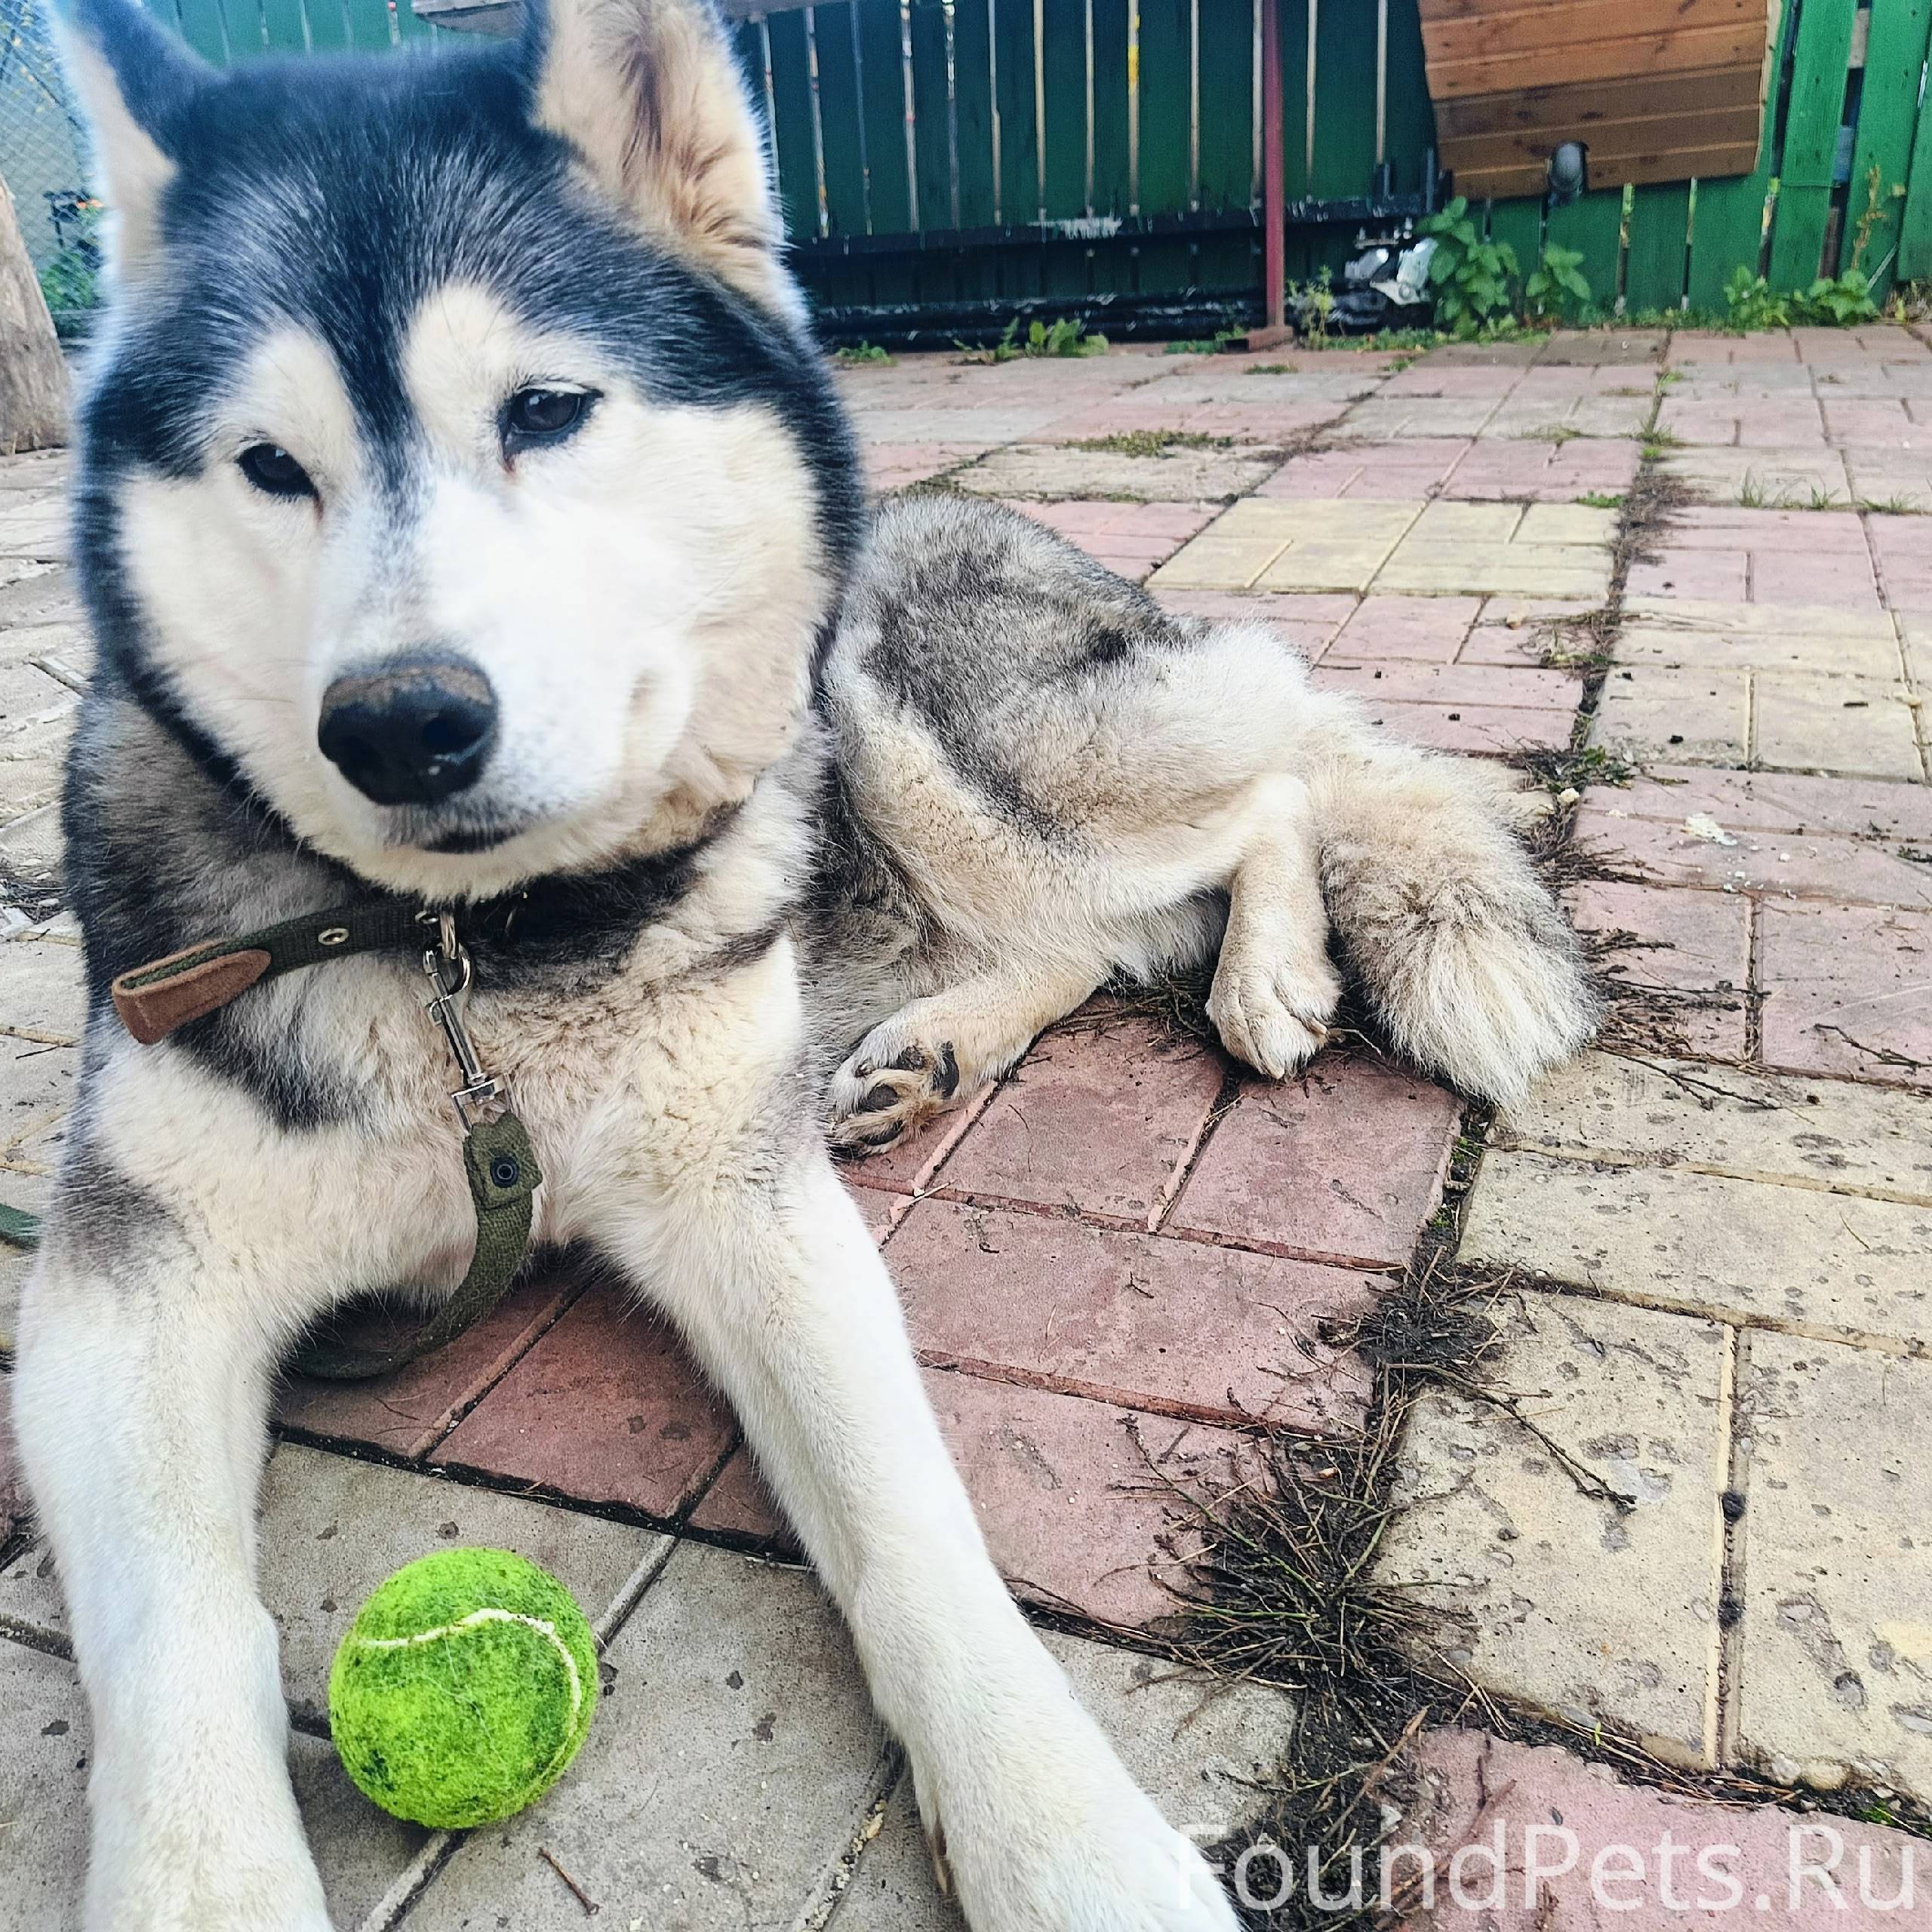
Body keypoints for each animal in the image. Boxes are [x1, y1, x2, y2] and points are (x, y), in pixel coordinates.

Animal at [11, 0, 1599, 1925]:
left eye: (545, 410)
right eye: (268, 464)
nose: (397, 722)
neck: (489, 962)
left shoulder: (750, 1207)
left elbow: (917, 1531)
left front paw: (1065, 1839)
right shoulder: (123, 1288)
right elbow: (177, 1645)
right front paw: (202, 1877)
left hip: (917, 719)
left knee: (1269, 784)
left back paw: (1265, 973)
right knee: (1100, 927)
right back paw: (935, 1045)